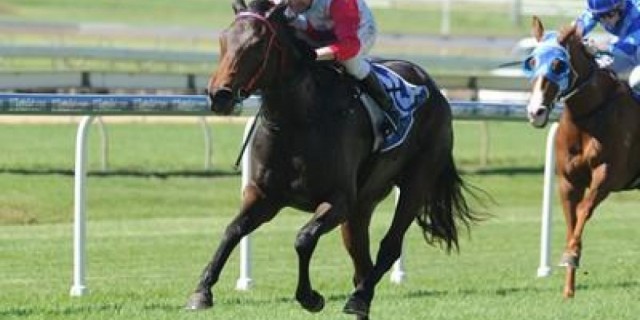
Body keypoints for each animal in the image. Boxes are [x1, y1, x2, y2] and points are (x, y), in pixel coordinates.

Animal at [185, 1, 480, 318]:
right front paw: (202, 291)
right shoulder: (264, 196)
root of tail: (432, 86)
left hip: (416, 183)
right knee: (361, 258)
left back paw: (358, 299)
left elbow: (303, 239)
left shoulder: (338, 200)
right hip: (363, 204)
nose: (219, 95)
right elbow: (233, 230)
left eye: (257, 44)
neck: (299, 121)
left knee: (389, 246)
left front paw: (310, 297)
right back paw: (362, 298)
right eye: (223, 40)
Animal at [524, 16, 640, 298]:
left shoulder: (607, 175)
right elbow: (571, 218)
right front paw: (568, 288)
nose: (535, 112)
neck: (588, 117)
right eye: (531, 62)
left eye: (558, 64)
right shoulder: (568, 181)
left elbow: (584, 210)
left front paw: (571, 256)